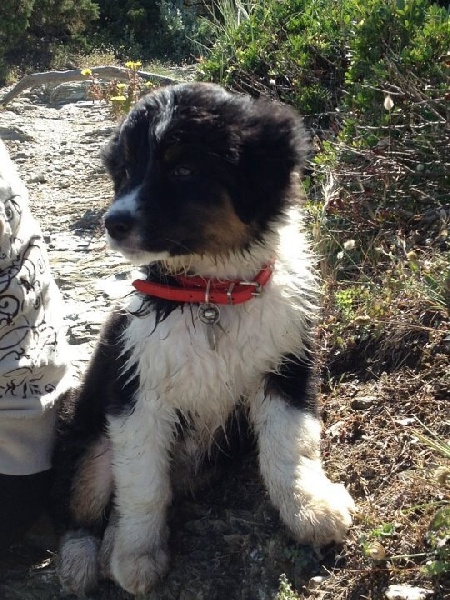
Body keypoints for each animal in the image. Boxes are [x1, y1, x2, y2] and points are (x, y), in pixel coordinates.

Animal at [52, 82, 355, 596]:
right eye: (127, 170)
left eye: (184, 170)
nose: (113, 223)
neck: (211, 293)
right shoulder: (136, 393)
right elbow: (143, 484)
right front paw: (137, 555)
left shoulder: (285, 365)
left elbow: (291, 443)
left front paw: (311, 509)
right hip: (91, 428)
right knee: (85, 499)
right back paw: (86, 556)